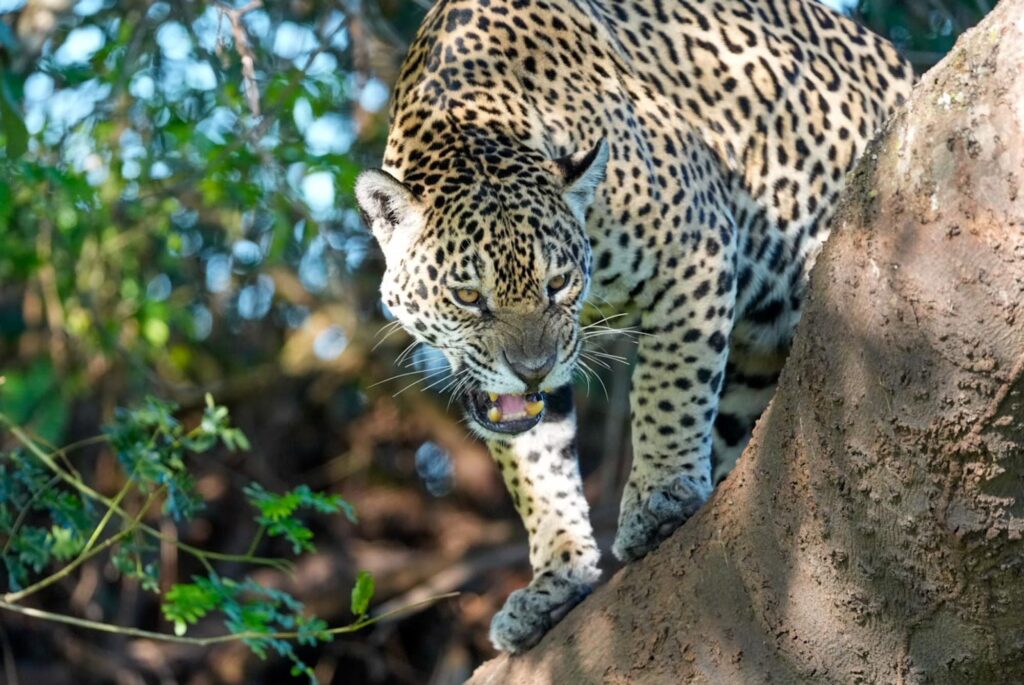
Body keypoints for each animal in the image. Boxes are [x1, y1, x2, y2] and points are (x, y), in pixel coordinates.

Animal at [355, 0, 913, 654]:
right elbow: (537, 466)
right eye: (468, 296)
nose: (533, 369)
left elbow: (671, 388)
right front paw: (557, 578)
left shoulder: (696, 244)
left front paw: (660, 500)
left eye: (558, 283)